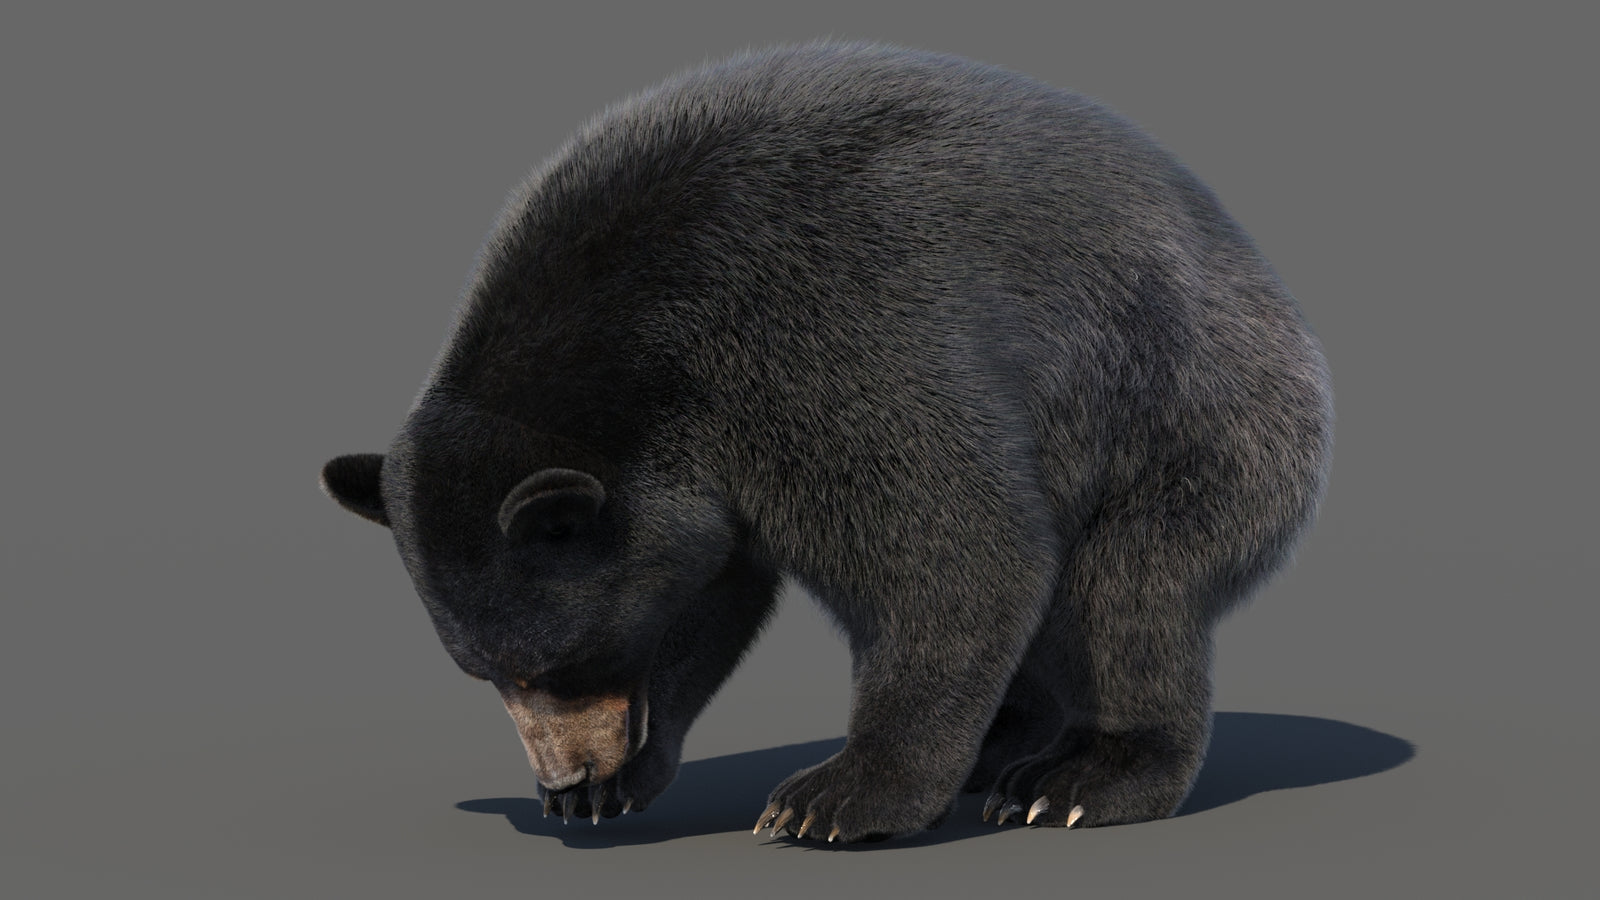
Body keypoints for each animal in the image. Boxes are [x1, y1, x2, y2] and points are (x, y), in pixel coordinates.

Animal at [320, 41, 1333, 843]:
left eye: (560, 663)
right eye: (485, 671)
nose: (566, 773)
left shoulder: (824, 338)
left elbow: (959, 546)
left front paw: (836, 797)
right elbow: (708, 591)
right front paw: (619, 783)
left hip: (1189, 419)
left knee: (1128, 592)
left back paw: (1079, 777)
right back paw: (1006, 740)